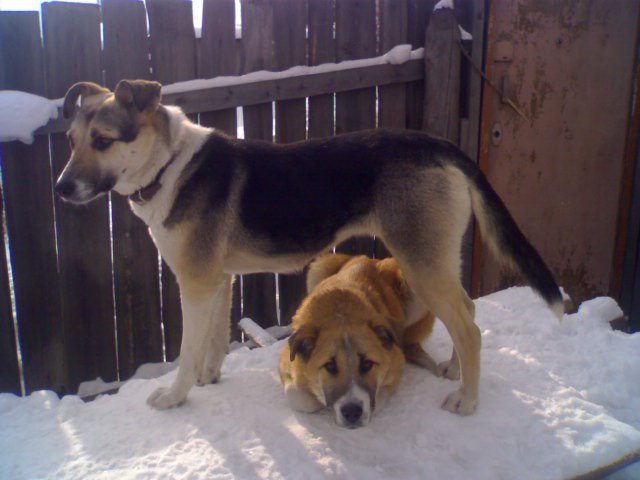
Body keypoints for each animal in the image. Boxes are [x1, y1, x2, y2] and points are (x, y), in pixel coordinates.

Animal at [278, 253, 436, 430]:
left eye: (367, 363)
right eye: (330, 366)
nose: (352, 412)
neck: (341, 313)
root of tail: (369, 258)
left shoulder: (395, 366)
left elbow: (378, 398)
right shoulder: (286, 363)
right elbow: (300, 398)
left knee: (411, 342)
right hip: (318, 267)